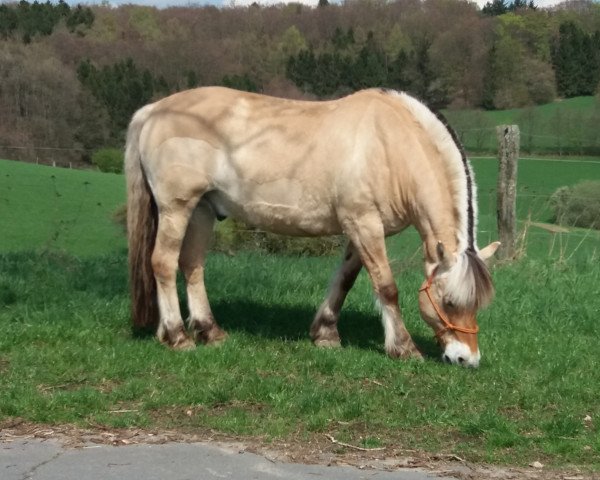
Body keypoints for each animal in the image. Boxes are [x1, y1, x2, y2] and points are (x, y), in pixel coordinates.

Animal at [126, 87, 502, 368]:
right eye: (449, 302)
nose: (467, 359)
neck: (391, 146)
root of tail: (152, 111)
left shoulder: (360, 229)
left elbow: (344, 281)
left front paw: (325, 334)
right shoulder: (364, 224)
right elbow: (386, 287)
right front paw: (404, 348)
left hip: (202, 210)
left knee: (192, 266)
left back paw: (210, 332)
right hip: (176, 208)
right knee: (163, 263)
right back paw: (177, 336)